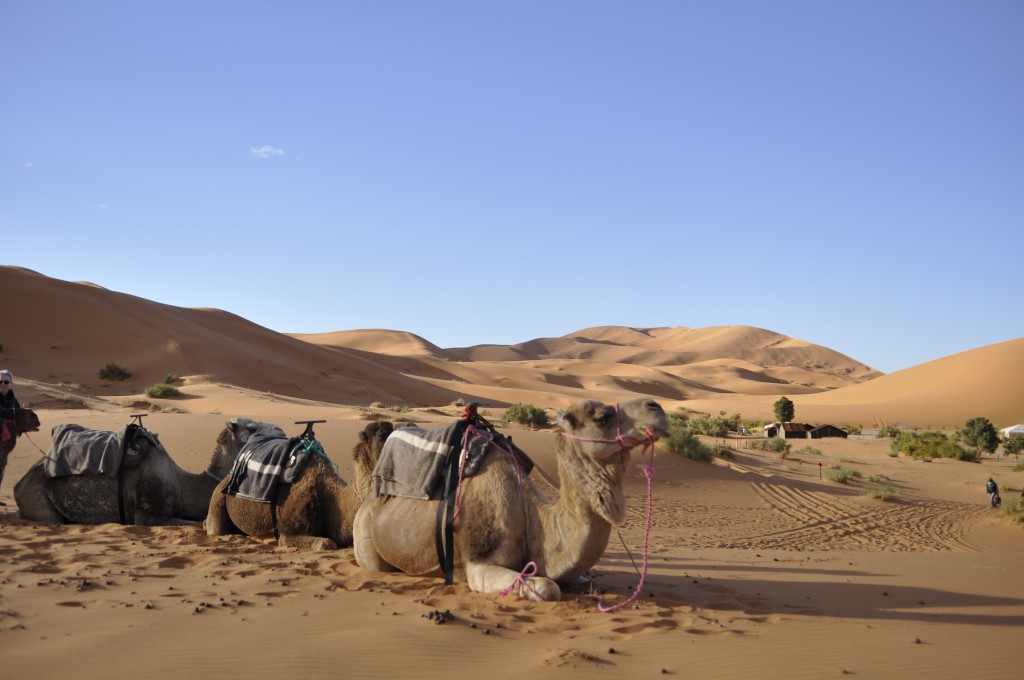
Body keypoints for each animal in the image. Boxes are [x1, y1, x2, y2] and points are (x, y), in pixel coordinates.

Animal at [12, 413, 284, 524]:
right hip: (38, 498)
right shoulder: (146, 514)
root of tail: (17, 483)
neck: (185, 485)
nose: (281, 429)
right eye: (250, 427)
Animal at [203, 419, 391, 553]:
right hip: (218, 498)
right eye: (381, 434)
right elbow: (326, 543)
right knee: (215, 529)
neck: (332, 498)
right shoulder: (289, 529)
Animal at [352, 399, 671, 602]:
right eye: (603, 418)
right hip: (365, 537)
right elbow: (548, 588)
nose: (656, 408)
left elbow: (586, 579)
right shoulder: (477, 563)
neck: (534, 521)